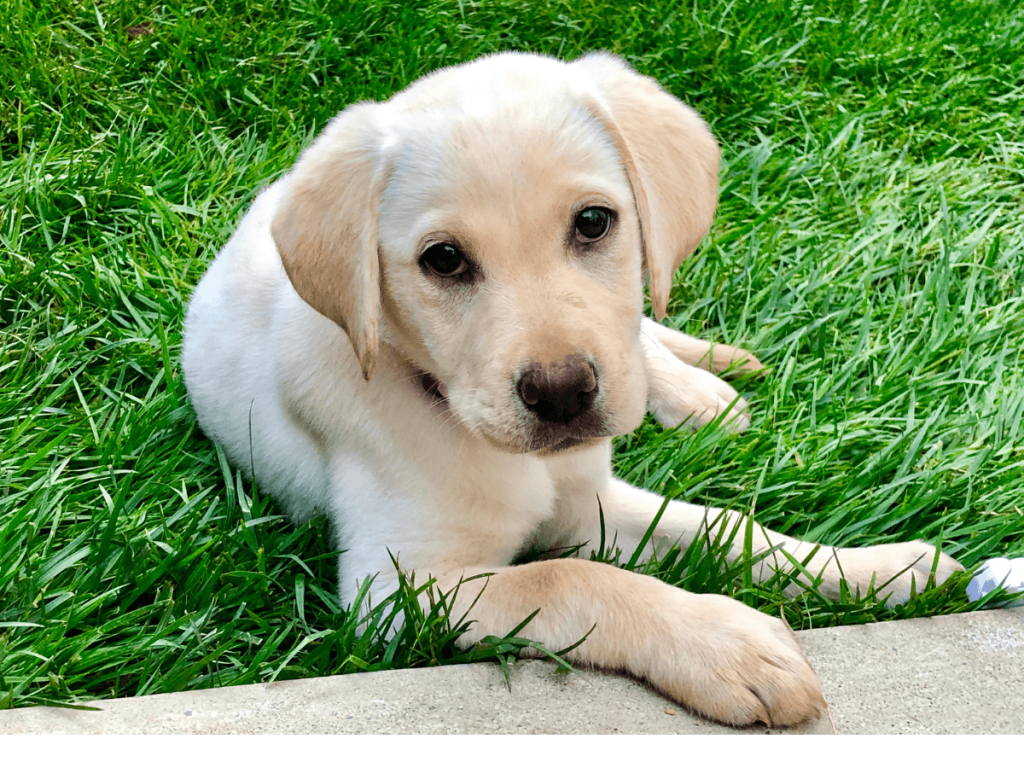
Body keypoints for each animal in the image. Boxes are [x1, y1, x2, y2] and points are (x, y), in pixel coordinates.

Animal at [182, 52, 958, 729]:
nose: (562, 395)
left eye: (592, 222)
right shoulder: (399, 590)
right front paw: (727, 646)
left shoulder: (592, 498)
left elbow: (729, 527)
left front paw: (880, 569)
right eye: (443, 260)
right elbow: (570, 579)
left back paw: (702, 386)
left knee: (646, 330)